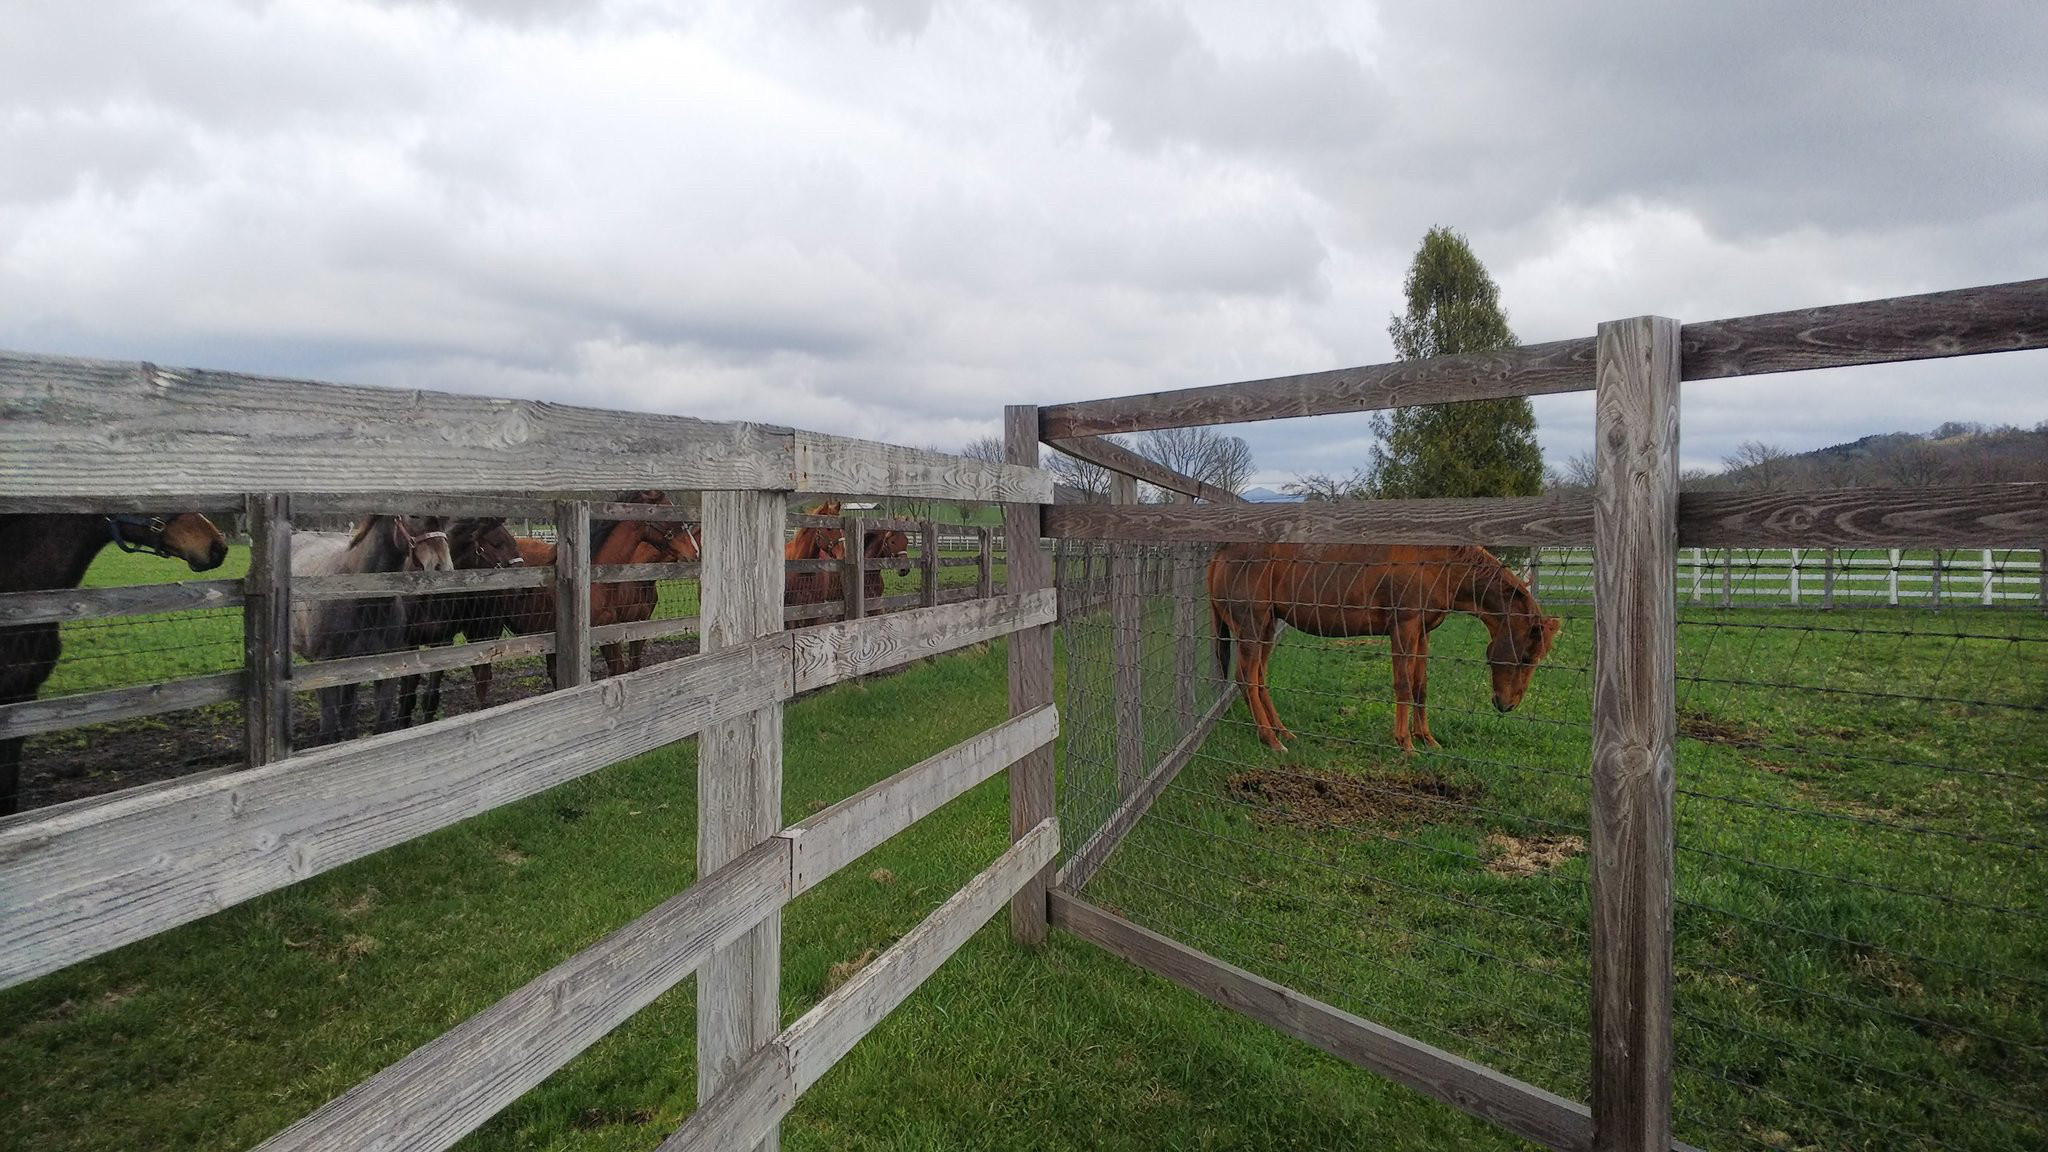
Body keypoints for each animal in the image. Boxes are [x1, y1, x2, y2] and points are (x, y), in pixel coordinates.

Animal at [291, 516, 455, 743]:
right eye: (413, 516)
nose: (443, 567)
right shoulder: (326, 668)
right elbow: (329, 730)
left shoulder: (386, 668)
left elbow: (382, 725)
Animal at [1207, 543, 1561, 754]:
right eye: (1525, 657)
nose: (1507, 705)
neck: (1440, 566)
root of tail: (1222, 552)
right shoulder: (1403, 627)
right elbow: (1403, 685)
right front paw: (1404, 742)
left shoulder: (1422, 633)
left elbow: (1420, 687)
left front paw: (1426, 738)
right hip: (1251, 628)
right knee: (1246, 679)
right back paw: (1269, 738)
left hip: (1266, 628)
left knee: (1259, 679)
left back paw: (1281, 732)